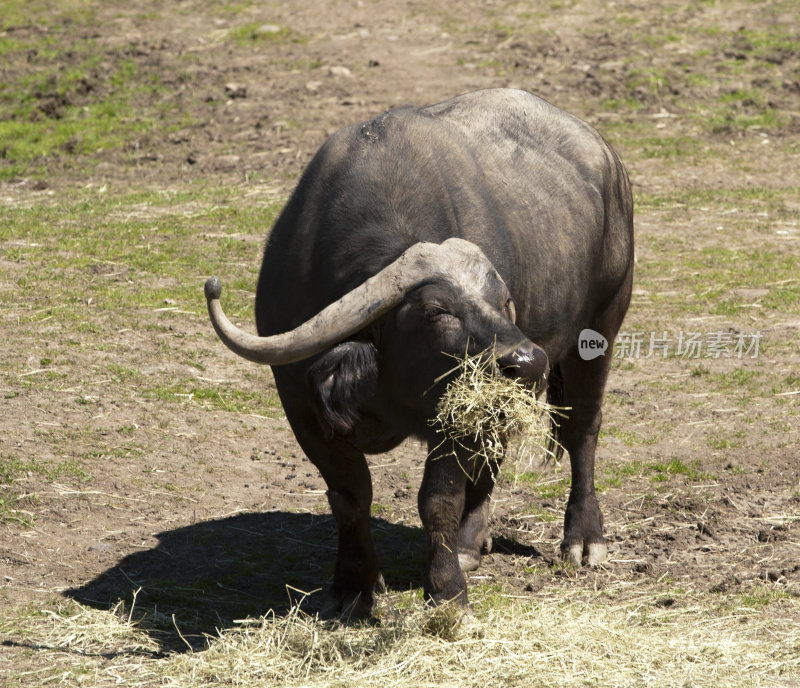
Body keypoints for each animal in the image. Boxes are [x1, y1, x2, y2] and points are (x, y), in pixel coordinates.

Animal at [209, 88, 636, 616]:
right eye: (437, 310)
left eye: (503, 300)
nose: (527, 362)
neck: (385, 378)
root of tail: (605, 157)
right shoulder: (302, 407)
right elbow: (350, 496)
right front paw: (353, 585)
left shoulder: (451, 415)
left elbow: (438, 500)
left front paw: (447, 589)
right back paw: (473, 540)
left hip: (599, 330)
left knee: (582, 429)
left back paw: (581, 538)